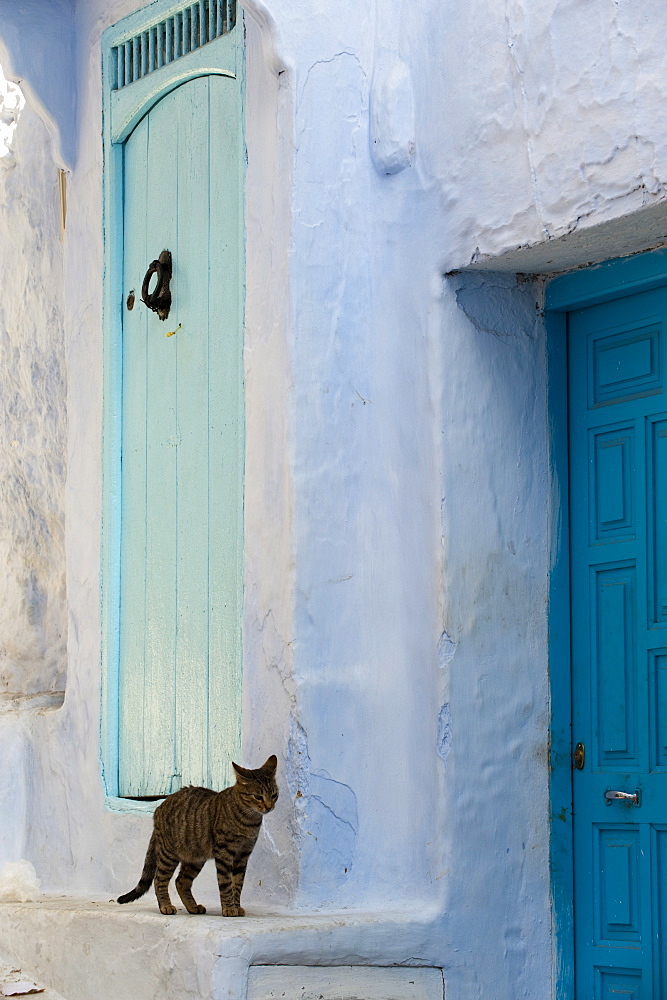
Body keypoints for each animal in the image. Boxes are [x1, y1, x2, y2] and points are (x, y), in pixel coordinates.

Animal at [117, 756, 280, 916]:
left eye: (274, 795)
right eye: (258, 796)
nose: (269, 807)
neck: (249, 820)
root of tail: (159, 807)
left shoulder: (243, 855)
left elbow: (238, 884)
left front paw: (236, 906)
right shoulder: (224, 853)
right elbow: (226, 883)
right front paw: (229, 908)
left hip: (196, 858)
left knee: (181, 881)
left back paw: (193, 907)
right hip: (168, 854)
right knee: (159, 879)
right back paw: (166, 906)